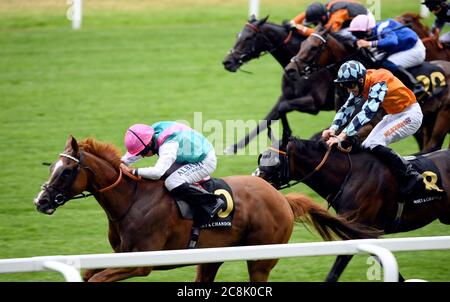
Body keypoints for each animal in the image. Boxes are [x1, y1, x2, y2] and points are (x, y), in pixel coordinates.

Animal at [32, 136, 376, 282]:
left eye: (66, 171)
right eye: (52, 167)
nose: (41, 201)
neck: (131, 200)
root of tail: (282, 199)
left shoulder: (141, 263)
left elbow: (96, 279)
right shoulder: (120, 255)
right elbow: (89, 273)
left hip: (261, 259)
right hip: (212, 257)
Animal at [222, 15, 338, 153]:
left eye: (248, 37)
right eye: (237, 35)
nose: (227, 62)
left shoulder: (314, 103)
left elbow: (283, 108)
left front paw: (289, 135)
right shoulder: (284, 97)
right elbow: (266, 120)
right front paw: (234, 147)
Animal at [256, 138, 450, 282]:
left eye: (272, 160)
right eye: (261, 156)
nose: (256, 178)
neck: (350, 175)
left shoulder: (355, 232)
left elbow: (334, 272)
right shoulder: (363, 232)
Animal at [284, 25, 450, 153]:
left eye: (314, 47)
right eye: (302, 44)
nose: (290, 70)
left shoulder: (370, 124)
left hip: (443, 116)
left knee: (431, 146)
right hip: (429, 119)